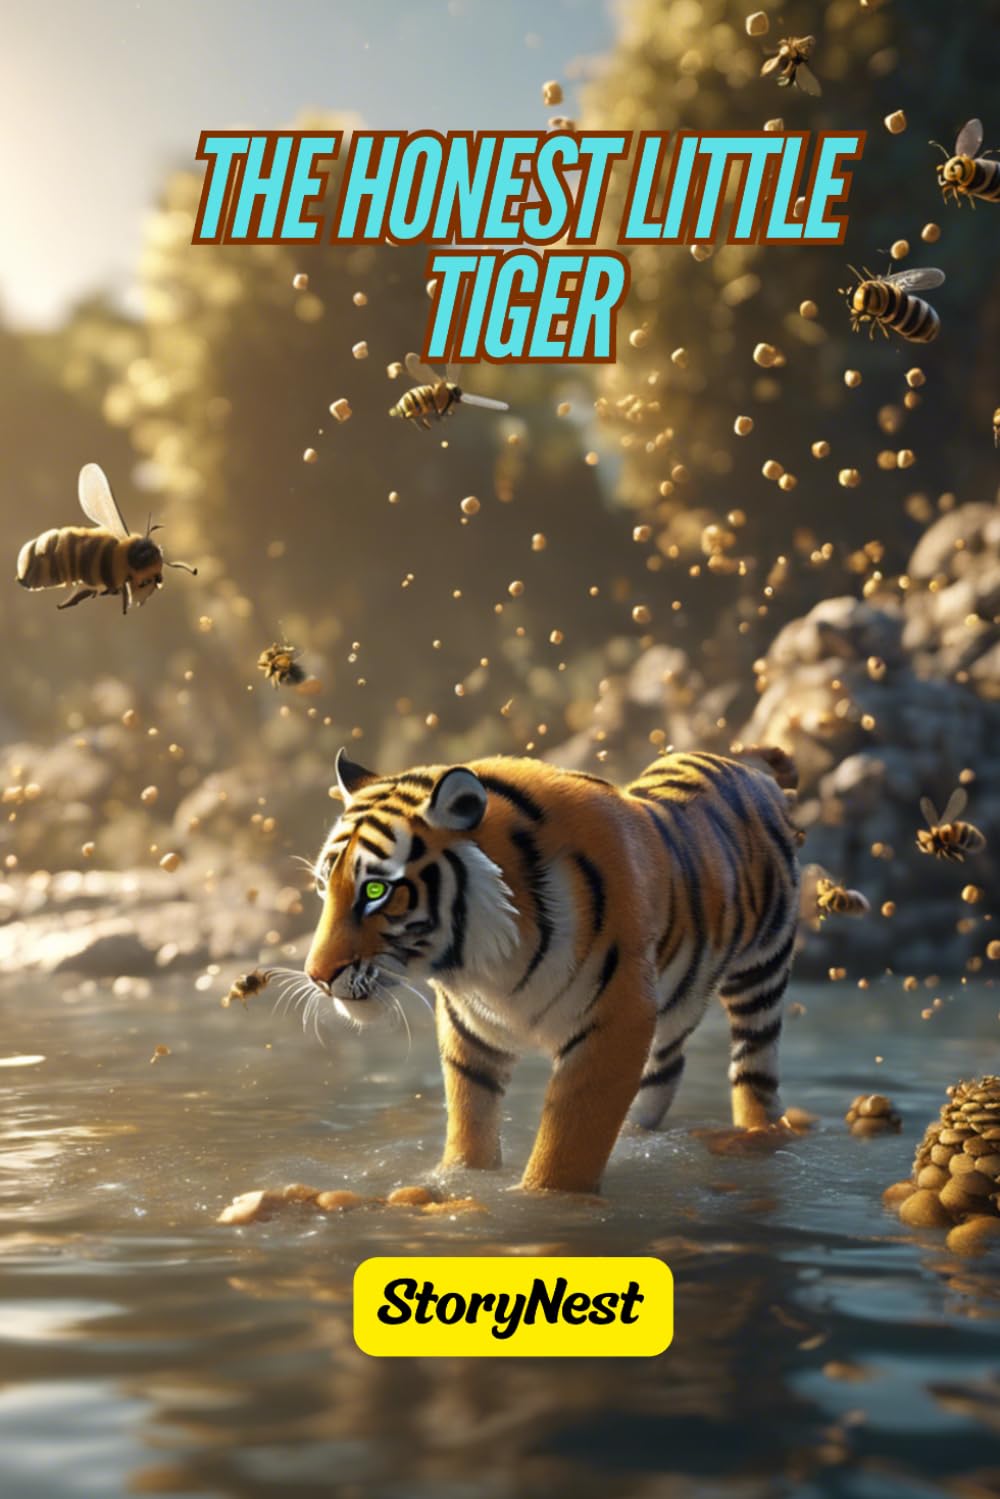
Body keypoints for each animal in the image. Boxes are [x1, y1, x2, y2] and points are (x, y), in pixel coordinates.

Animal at [304, 744, 802, 1194]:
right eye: (323, 886)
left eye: (375, 891)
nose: (317, 976)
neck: (488, 964)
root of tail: (744, 763)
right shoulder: (469, 1031)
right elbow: (470, 1126)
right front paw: (456, 1181)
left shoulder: (616, 1022)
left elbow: (566, 1147)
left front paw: (539, 1205)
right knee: (667, 1069)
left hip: (761, 971)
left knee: (755, 1070)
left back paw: (757, 1138)